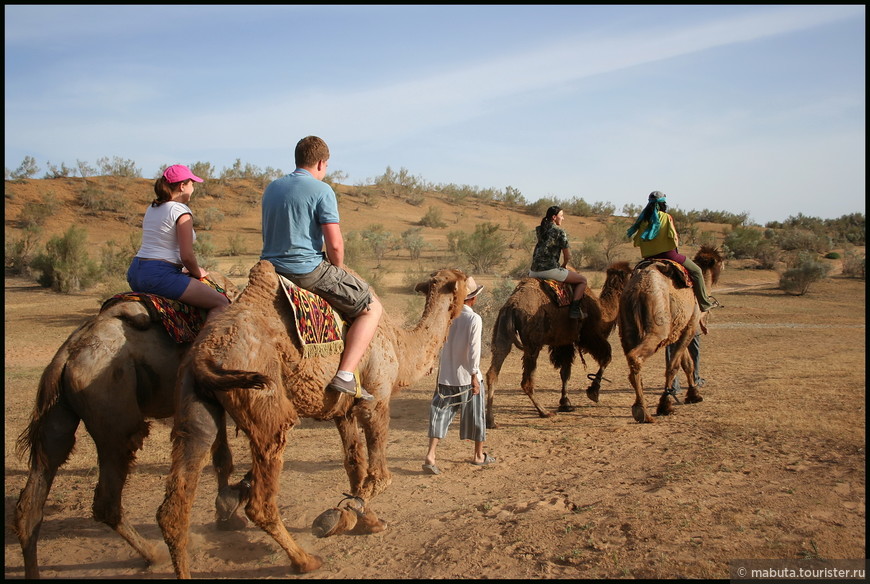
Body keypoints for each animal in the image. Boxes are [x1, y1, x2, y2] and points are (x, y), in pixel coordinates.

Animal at [11, 274, 247, 580]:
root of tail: (66, 356)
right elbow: (222, 455)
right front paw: (230, 513)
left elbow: (221, 455)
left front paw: (228, 513)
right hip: (115, 416)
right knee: (107, 500)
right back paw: (156, 554)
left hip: (57, 415)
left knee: (33, 497)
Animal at [155, 262, 470, 580]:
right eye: (463, 280)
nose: (475, 289)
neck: (399, 345)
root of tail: (205, 355)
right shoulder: (376, 399)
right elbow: (380, 475)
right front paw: (341, 517)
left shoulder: (343, 410)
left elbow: (355, 465)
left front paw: (367, 520)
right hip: (267, 408)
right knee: (261, 503)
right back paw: (304, 561)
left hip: (193, 403)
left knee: (174, 505)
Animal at [484, 262, 632, 426]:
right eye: (631, 274)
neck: (602, 310)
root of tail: (512, 306)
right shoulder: (589, 334)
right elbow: (606, 356)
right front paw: (593, 392)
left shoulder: (563, 341)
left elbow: (565, 372)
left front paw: (565, 403)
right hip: (533, 342)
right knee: (526, 380)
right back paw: (544, 412)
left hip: (502, 332)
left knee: (494, 370)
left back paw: (491, 420)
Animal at [620, 244, 728, 422]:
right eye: (720, 263)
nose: (723, 268)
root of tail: (638, 288)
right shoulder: (690, 325)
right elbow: (674, 366)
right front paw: (666, 404)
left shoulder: (678, 330)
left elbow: (686, 364)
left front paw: (694, 394)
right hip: (658, 326)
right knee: (636, 357)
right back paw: (643, 412)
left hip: (626, 326)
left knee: (630, 358)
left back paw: (639, 406)